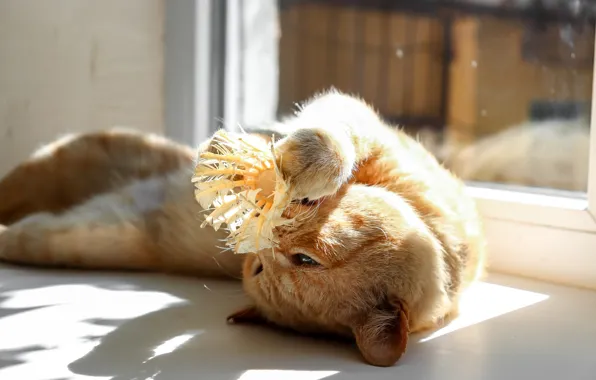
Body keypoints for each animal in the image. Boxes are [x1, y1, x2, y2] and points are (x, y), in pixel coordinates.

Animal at [0, 90, 484, 366]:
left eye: (297, 262)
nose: (255, 251)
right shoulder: (359, 122)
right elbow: (333, 141)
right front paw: (278, 163)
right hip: (62, 160)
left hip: (86, 236)